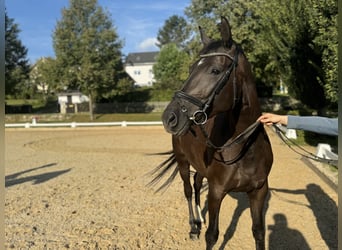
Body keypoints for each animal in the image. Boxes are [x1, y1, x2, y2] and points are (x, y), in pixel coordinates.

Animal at [148, 16, 274, 249]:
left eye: (215, 70)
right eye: (190, 69)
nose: (170, 117)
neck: (245, 147)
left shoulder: (259, 191)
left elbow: (259, 232)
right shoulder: (217, 192)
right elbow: (212, 235)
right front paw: (201, 230)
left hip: (200, 166)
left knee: (197, 184)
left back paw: (199, 219)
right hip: (183, 162)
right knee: (189, 190)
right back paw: (193, 226)